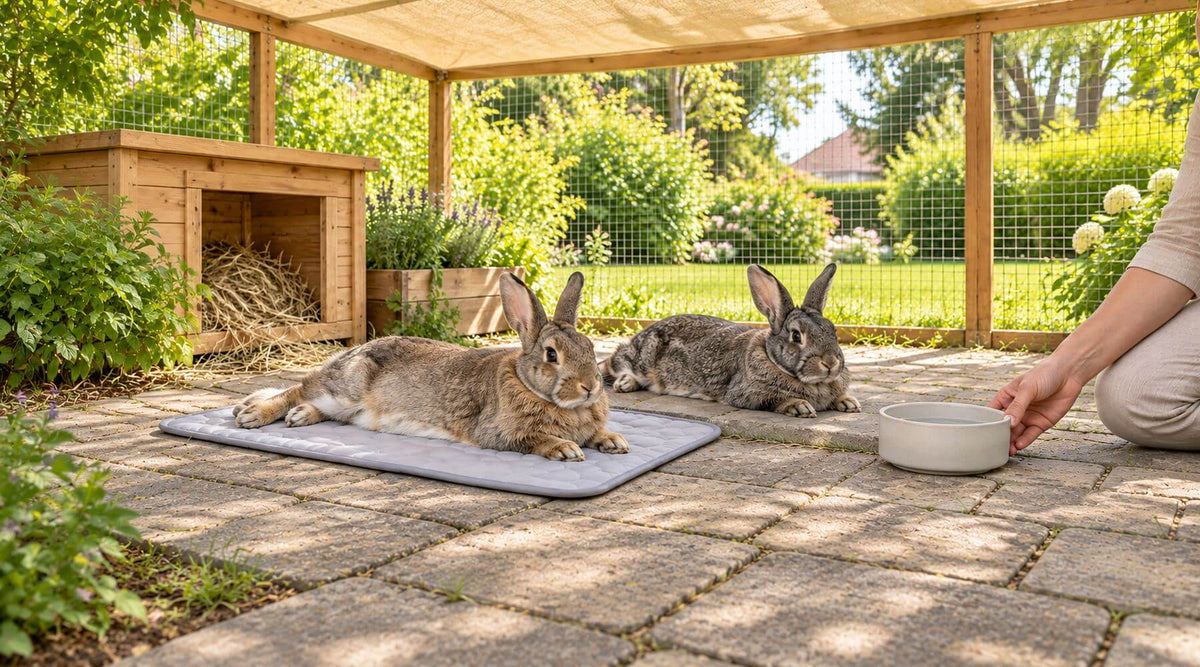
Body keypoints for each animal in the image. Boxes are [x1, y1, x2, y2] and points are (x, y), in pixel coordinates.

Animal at [232, 272, 629, 462]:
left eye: (589, 347)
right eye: (551, 355)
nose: (591, 387)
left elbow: (597, 434)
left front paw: (614, 441)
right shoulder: (499, 434)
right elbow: (535, 439)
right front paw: (565, 449)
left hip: (345, 404)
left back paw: (300, 416)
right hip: (347, 387)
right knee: (300, 388)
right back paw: (252, 413)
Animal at [601, 263, 860, 418]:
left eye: (833, 330)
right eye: (796, 335)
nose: (831, 363)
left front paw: (849, 403)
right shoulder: (747, 394)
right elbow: (775, 400)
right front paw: (799, 406)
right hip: (641, 357)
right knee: (611, 363)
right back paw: (623, 383)